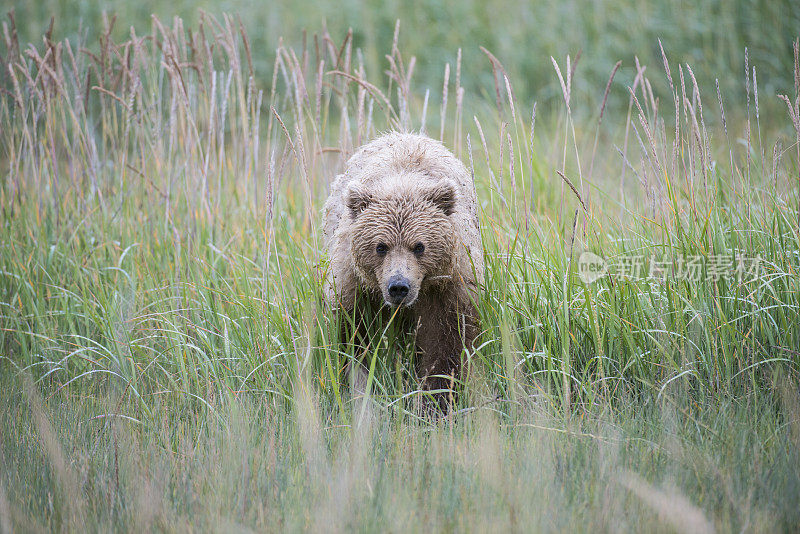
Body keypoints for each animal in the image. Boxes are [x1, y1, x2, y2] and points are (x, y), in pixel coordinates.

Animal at [322, 133, 484, 410]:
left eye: (419, 246)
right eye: (380, 246)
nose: (398, 286)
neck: (404, 180)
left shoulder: (449, 286)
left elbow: (446, 343)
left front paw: (435, 400)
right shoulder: (355, 285)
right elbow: (353, 338)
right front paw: (356, 388)